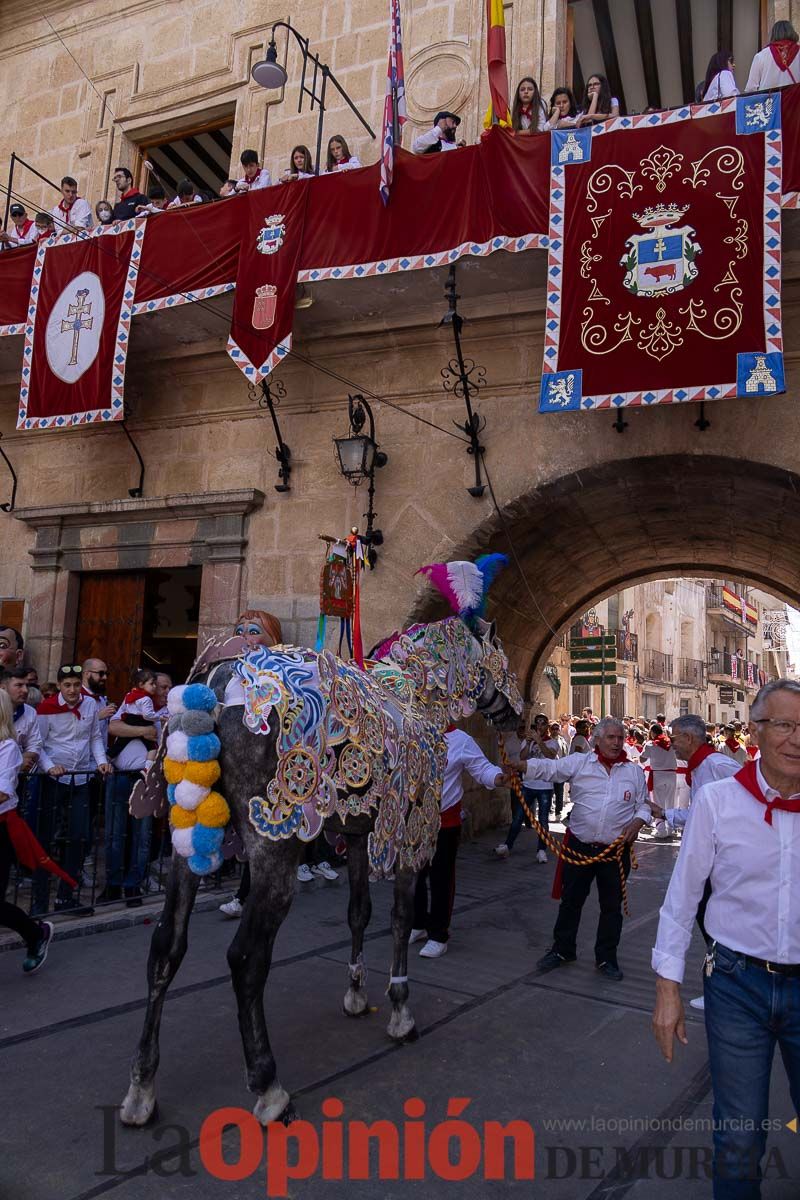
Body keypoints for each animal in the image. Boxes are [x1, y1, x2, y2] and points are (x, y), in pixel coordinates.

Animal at [118, 556, 520, 1128]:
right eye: (500, 648)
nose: (519, 712)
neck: (413, 694)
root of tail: (215, 683)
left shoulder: (354, 834)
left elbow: (358, 913)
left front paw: (355, 993)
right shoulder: (409, 837)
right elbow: (400, 919)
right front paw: (400, 1011)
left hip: (181, 845)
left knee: (165, 949)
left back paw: (141, 1090)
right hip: (273, 850)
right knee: (246, 959)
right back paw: (269, 1088)